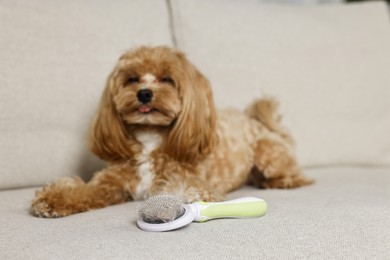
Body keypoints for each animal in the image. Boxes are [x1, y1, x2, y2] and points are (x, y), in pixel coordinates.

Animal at [32, 45, 314, 217]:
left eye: (167, 79)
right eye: (131, 79)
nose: (144, 93)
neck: (150, 138)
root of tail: (258, 123)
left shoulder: (194, 180)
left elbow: (187, 189)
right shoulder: (111, 183)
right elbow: (86, 190)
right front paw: (54, 198)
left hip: (268, 153)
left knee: (296, 175)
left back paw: (280, 181)